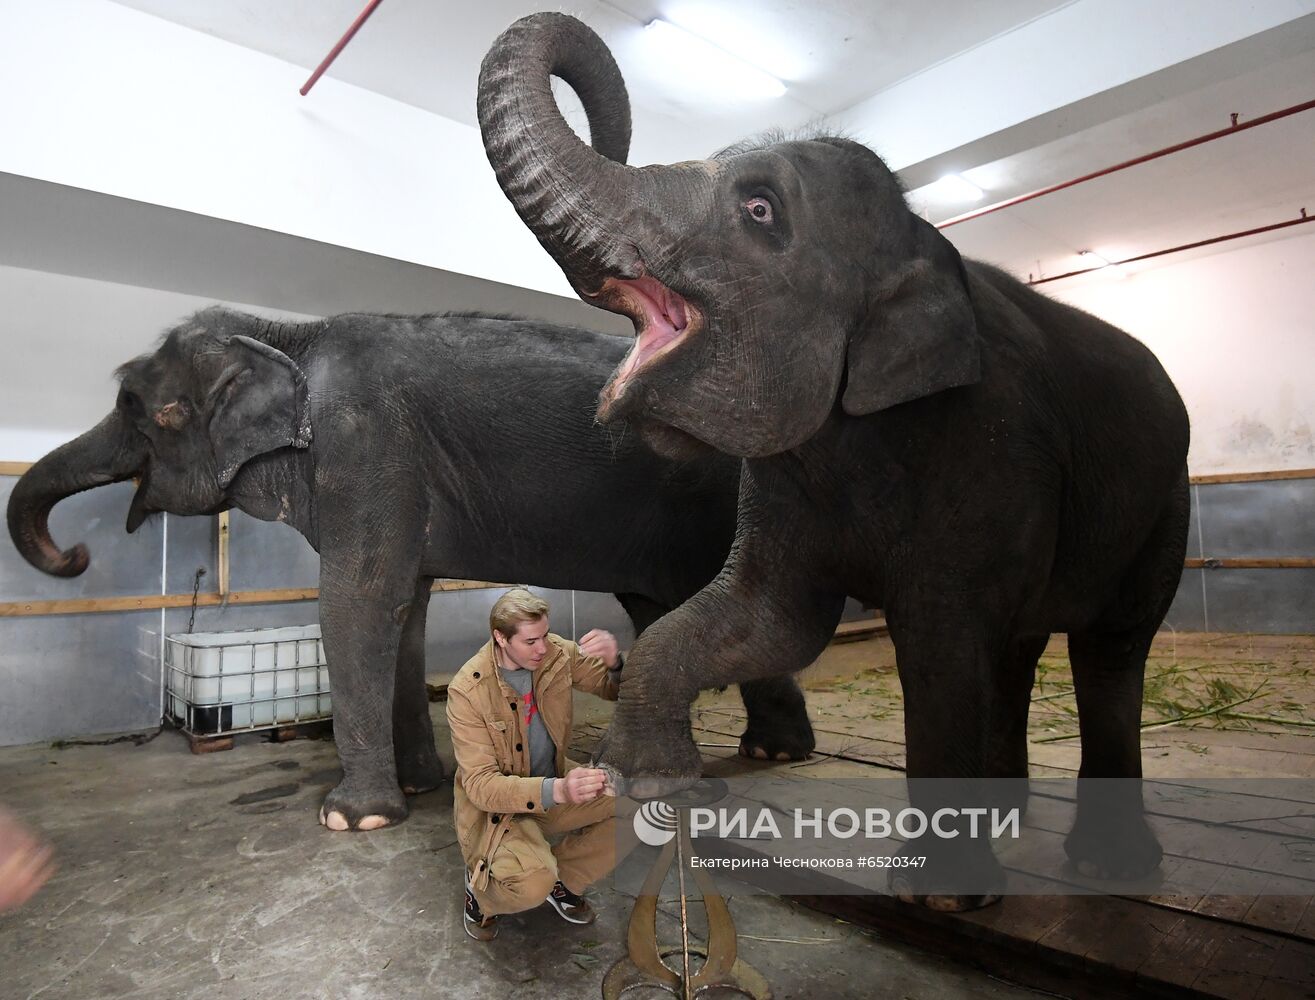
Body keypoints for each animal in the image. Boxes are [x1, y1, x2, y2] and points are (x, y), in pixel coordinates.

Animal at [7, 309, 820, 831]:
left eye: (140, 409)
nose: (76, 555)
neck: (285, 334)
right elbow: (406, 606)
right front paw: (418, 787)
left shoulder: (367, 444)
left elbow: (360, 602)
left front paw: (353, 821)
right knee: (666, 606)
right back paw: (767, 752)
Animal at [481, 13, 1194, 905]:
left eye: (757, 207)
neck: (923, 245)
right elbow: (768, 619)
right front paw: (645, 781)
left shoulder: (989, 452)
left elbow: (938, 643)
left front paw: (942, 894)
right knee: (1021, 646)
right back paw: (1009, 817)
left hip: (1165, 505)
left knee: (1110, 650)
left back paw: (1105, 863)